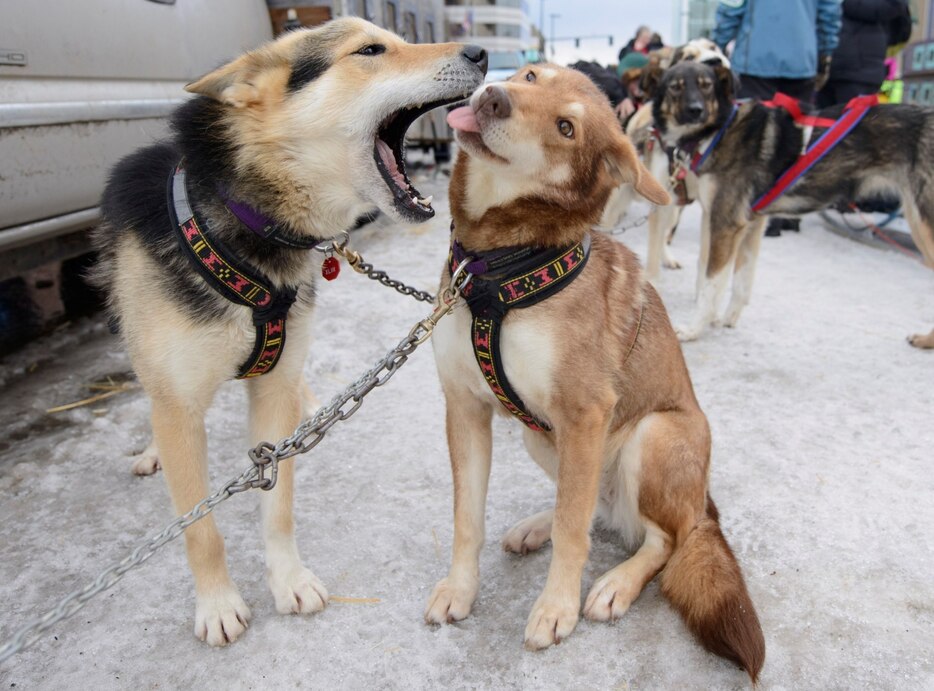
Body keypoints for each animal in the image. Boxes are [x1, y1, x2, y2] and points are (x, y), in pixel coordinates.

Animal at [428, 66, 764, 688]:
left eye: (566, 128)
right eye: (531, 75)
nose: (493, 97)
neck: (496, 267)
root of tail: (703, 504)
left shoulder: (584, 413)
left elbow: (572, 531)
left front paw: (555, 607)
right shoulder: (465, 406)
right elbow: (469, 518)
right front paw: (461, 588)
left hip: (653, 435)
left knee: (659, 538)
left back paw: (616, 585)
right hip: (540, 436)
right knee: (593, 508)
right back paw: (536, 525)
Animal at [652, 60, 934, 344]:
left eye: (706, 86)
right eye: (675, 87)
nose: (695, 110)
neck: (719, 131)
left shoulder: (726, 224)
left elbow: (711, 284)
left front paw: (693, 329)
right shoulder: (751, 224)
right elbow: (742, 281)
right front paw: (727, 320)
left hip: (923, 225)